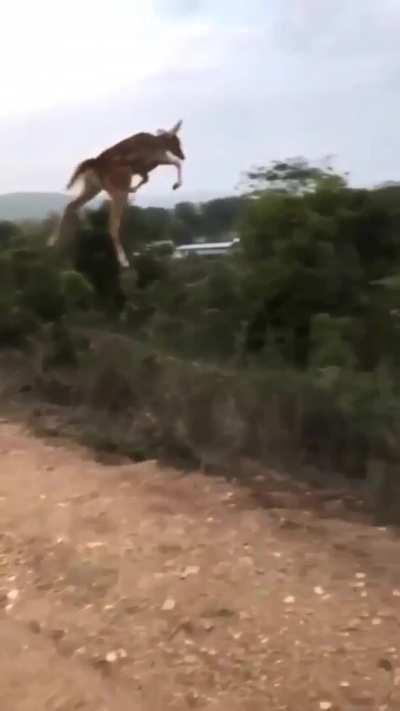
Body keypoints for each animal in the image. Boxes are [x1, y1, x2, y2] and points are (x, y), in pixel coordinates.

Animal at [49, 120, 185, 268]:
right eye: (177, 141)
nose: (183, 155)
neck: (159, 142)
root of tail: (94, 164)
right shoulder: (159, 159)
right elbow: (176, 164)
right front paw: (176, 185)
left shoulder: (143, 169)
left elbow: (146, 179)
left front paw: (134, 189)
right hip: (116, 190)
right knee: (112, 225)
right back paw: (123, 261)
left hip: (93, 188)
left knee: (71, 205)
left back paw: (53, 242)